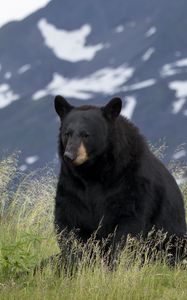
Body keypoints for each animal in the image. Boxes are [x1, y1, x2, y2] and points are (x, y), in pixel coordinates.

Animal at [53, 95, 186, 262]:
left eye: (86, 134)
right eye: (67, 133)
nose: (70, 155)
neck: (93, 172)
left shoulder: (130, 182)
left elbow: (128, 225)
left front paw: (116, 261)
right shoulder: (72, 185)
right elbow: (68, 221)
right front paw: (75, 259)